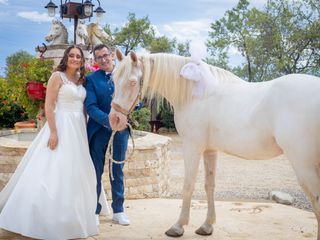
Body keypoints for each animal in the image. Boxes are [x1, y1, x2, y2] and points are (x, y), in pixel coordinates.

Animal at [109, 49, 320, 239]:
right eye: (113, 80)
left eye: (132, 82)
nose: (114, 119)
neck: (195, 94)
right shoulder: (209, 150)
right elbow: (209, 185)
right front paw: (207, 226)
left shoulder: (192, 146)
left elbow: (188, 185)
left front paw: (178, 226)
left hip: (304, 165)